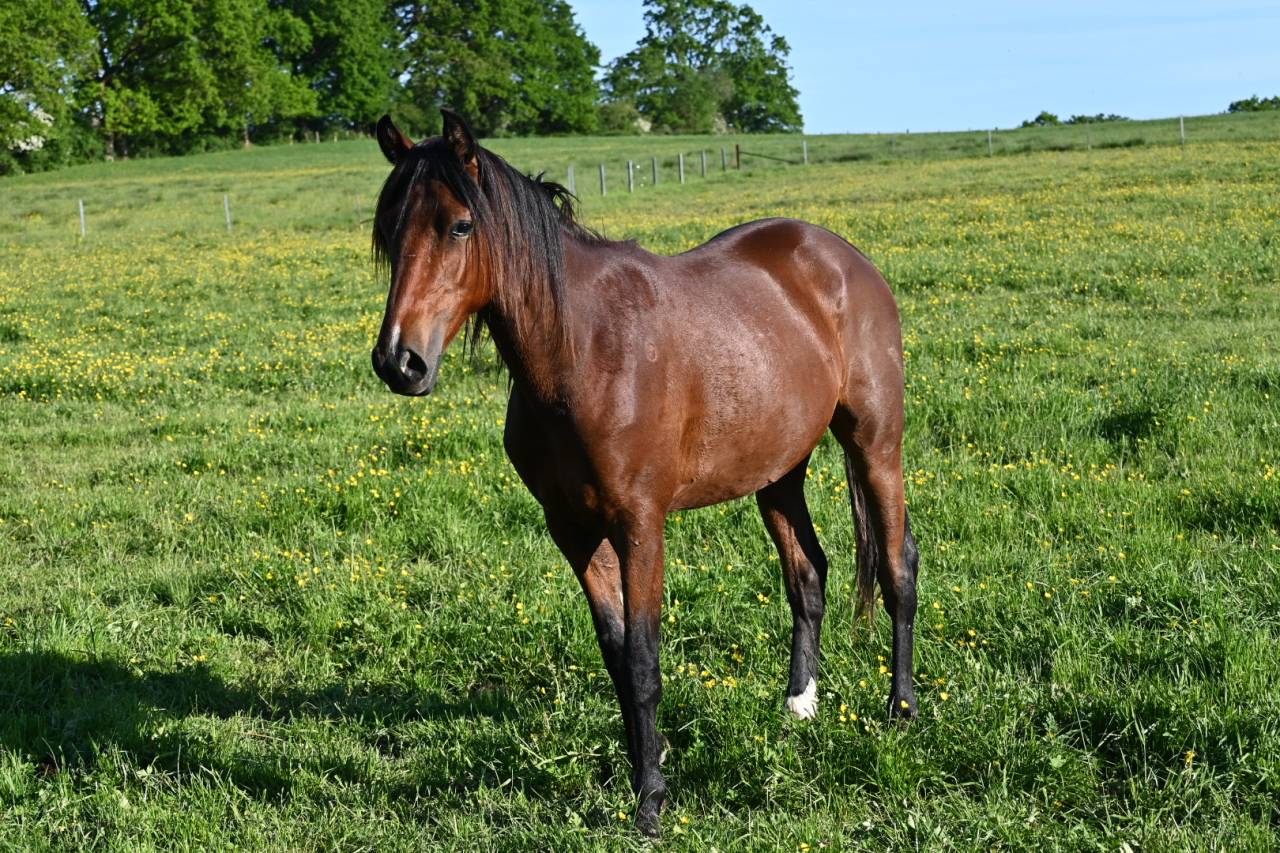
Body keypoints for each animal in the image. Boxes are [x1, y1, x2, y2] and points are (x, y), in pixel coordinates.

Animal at [369, 109, 920, 837]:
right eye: (388, 230)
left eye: (459, 225)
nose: (399, 362)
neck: (583, 352)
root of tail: (843, 257)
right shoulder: (573, 530)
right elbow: (616, 657)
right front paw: (645, 769)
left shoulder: (640, 525)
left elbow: (643, 658)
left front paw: (651, 801)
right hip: (778, 470)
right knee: (807, 572)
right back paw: (799, 705)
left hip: (875, 442)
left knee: (897, 565)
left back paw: (902, 710)